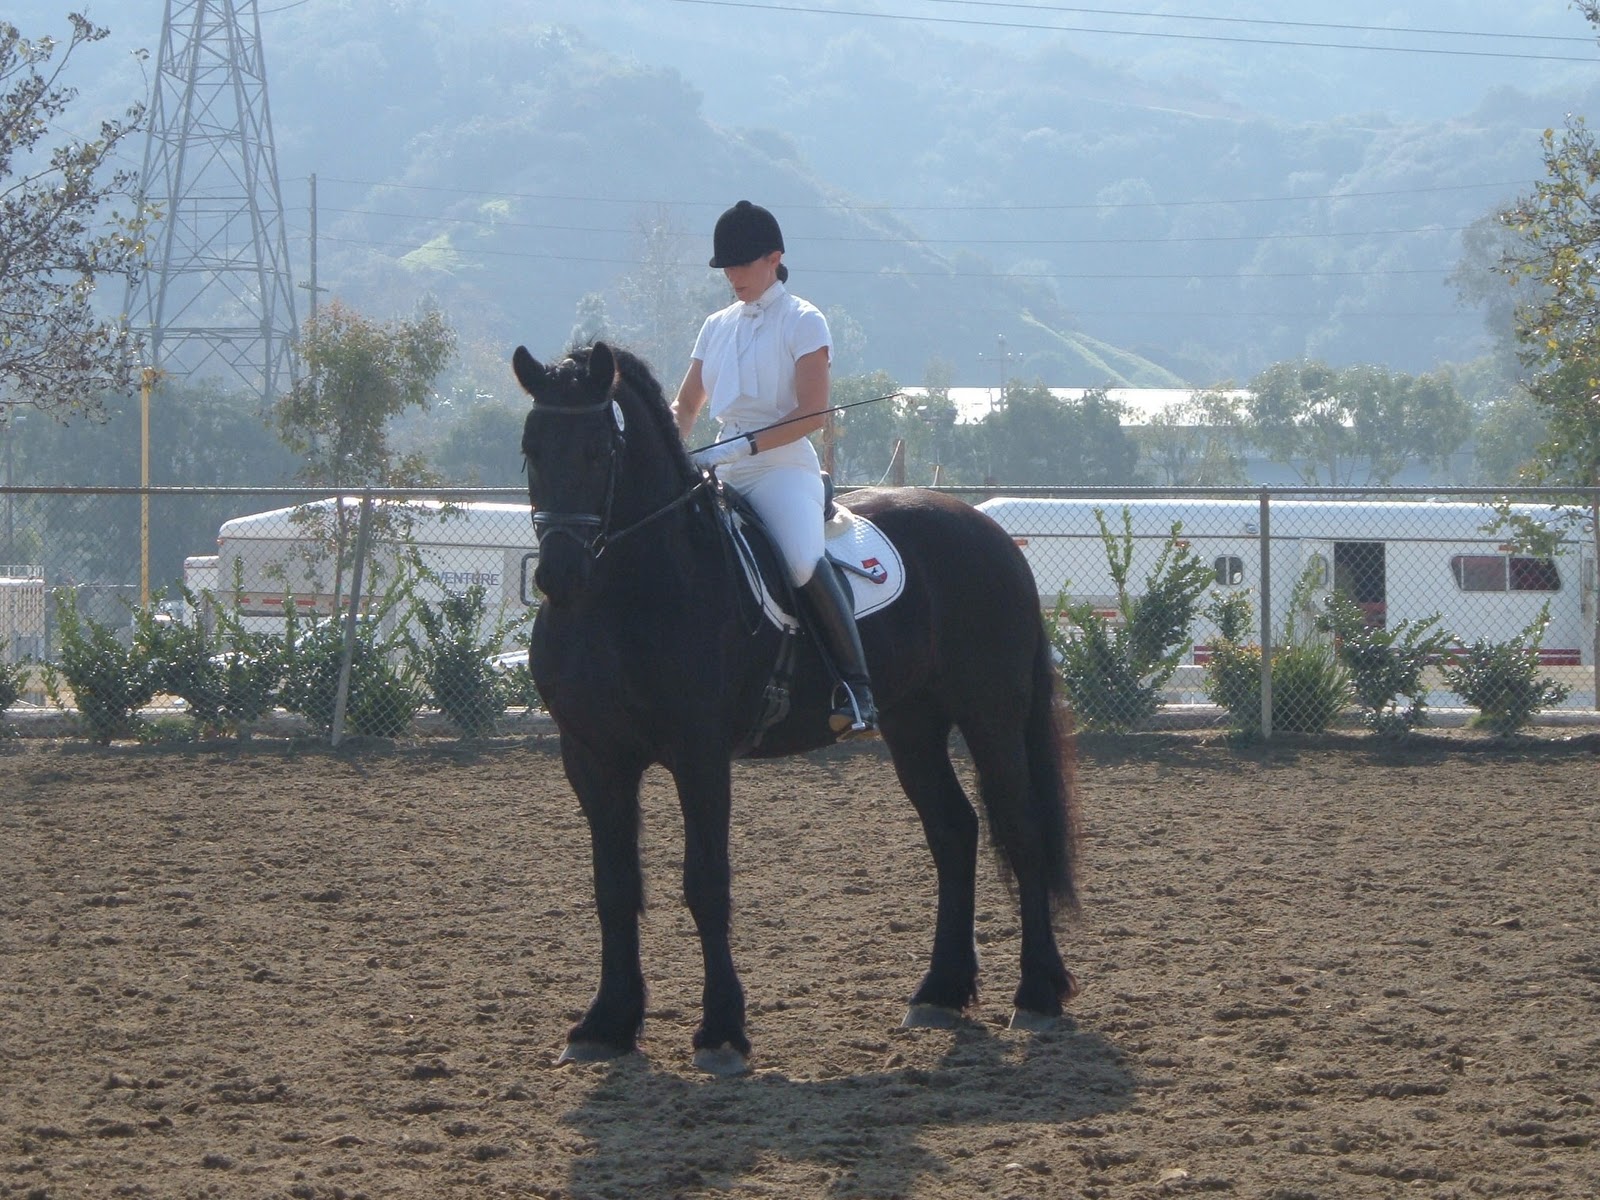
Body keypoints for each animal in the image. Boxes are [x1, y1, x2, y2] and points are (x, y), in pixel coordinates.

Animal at [514, 340, 1079, 1076]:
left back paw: (1037, 995)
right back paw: (939, 992)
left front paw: (721, 1032)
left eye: (598, 452)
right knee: (954, 831)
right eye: (531, 448)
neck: (622, 595)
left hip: (991, 715)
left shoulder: (699, 754)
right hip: (912, 724)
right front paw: (605, 1025)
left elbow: (706, 883)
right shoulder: (590, 756)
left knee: (1022, 830)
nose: (559, 576)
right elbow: (613, 887)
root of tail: (988, 531)